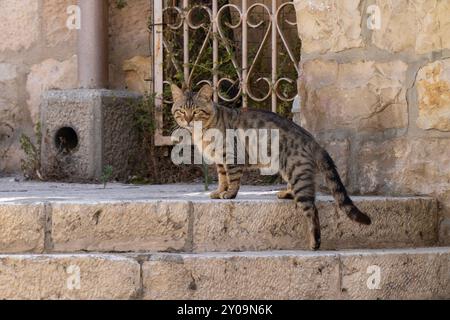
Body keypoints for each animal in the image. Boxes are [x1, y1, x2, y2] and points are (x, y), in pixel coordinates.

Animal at [171, 84, 370, 250]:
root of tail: (313, 140)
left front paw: (229, 194)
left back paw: (315, 243)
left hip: (298, 175)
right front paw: (219, 191)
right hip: (290, 171)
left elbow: (232, 178)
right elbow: (222, 178)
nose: (188, 120)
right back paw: (286, 193)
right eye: (182, 111)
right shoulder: (220, 161)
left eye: (196, 111)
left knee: (312, 210)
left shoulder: (231, 156)